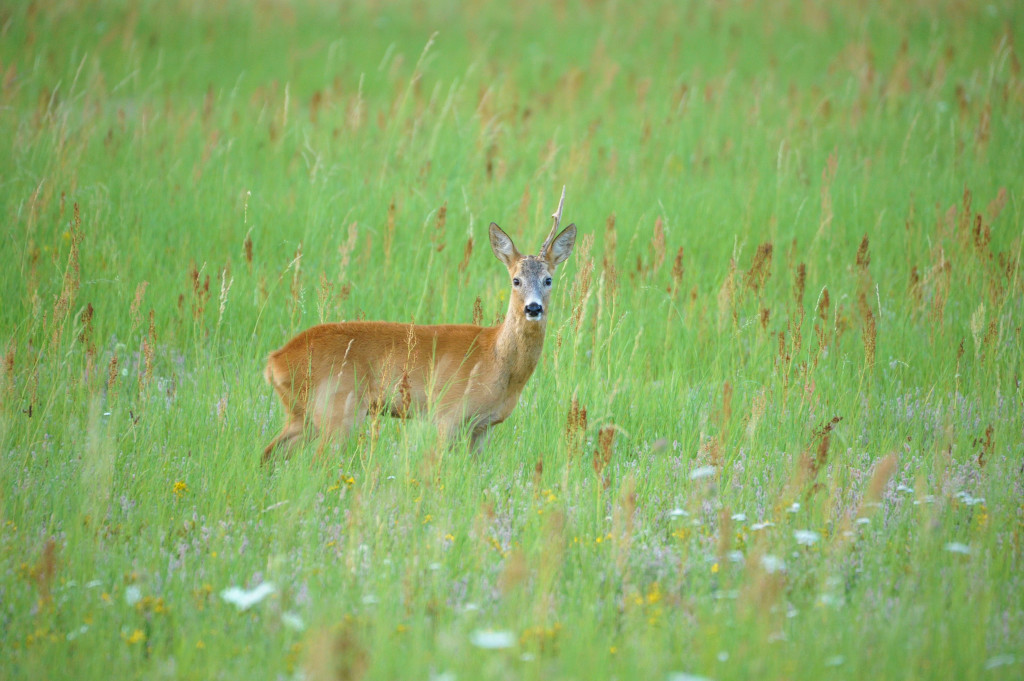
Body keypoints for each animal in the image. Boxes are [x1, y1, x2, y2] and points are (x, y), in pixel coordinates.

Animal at [262, 188, 577, 458]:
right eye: (516, 280)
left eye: (548, 279)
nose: (533, 308)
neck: (497, 360)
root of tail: (275, 361)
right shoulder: (447, 415)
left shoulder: (482, 428)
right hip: (337, 410)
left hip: (302, 415)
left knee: (268, 454)